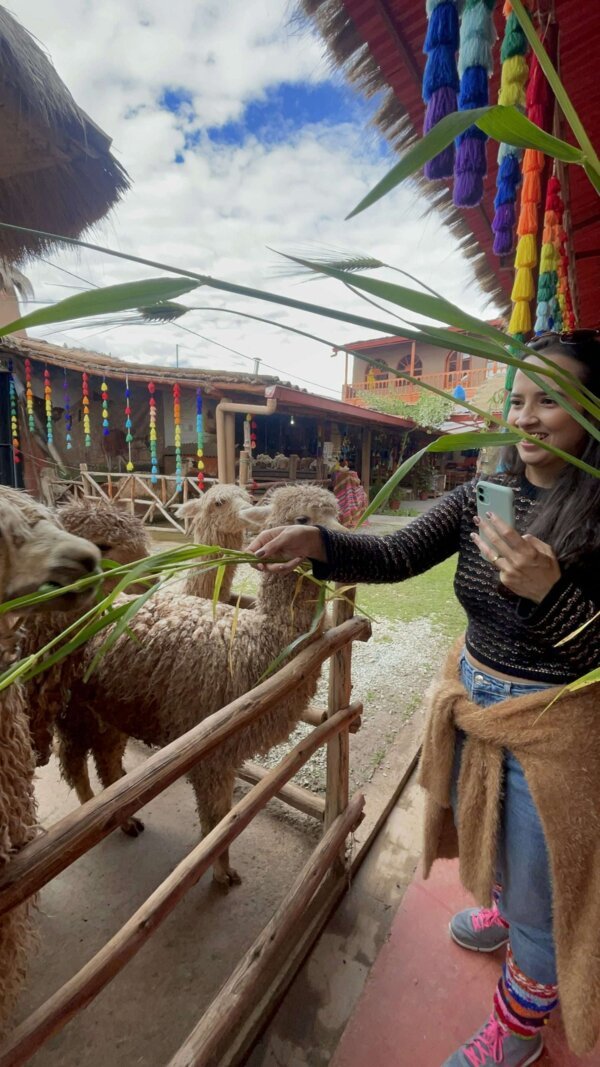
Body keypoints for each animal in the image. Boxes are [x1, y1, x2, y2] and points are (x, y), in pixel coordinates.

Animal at [55, 485, 343, 887]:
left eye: (337, 512)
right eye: (303, 519)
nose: (344, 535)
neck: (258, 643)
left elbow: (221, 818)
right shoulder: (211, 753)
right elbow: (216, 822)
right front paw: (222, 873)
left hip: (111, 704)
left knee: (106, 757)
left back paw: (125, 820)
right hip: (72, 705)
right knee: (73, 759)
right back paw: (90, 808)